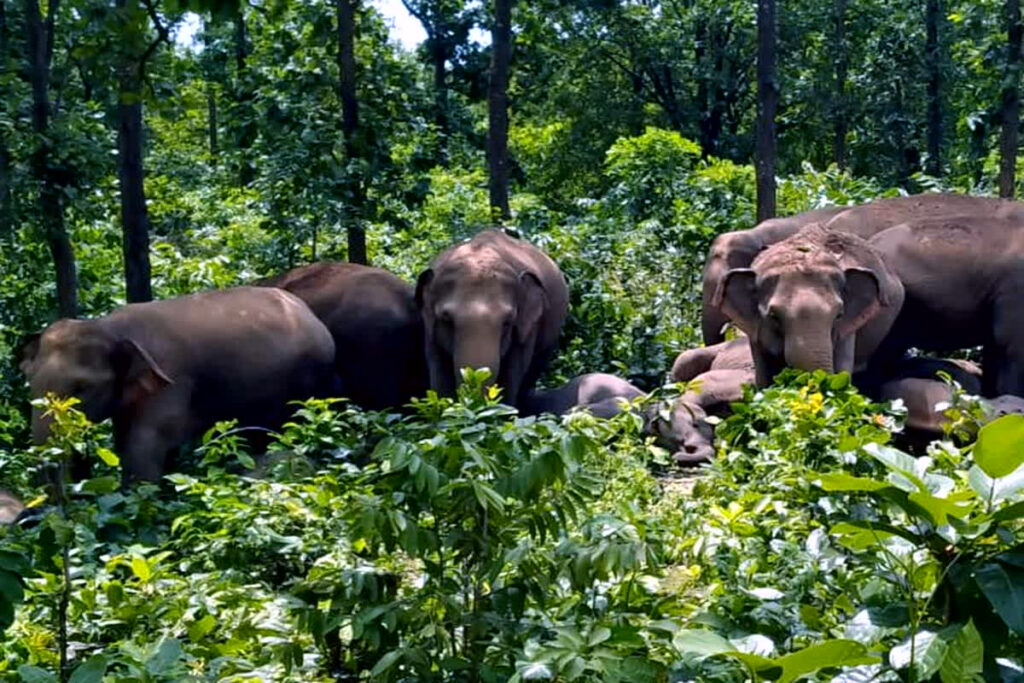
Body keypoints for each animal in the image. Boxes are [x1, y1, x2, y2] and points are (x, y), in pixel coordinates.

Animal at [416, 229, 570, 408]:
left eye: (507, 322)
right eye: (447, 319)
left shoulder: (526, 329)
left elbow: (511, 375)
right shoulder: (430, 331)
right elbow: (439, 377)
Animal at [715, 224, 905, 387]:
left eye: (839, 315)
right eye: (773, 317)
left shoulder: (847, 330)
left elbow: (842, 367)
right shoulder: (754, 332)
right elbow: (764, 377)